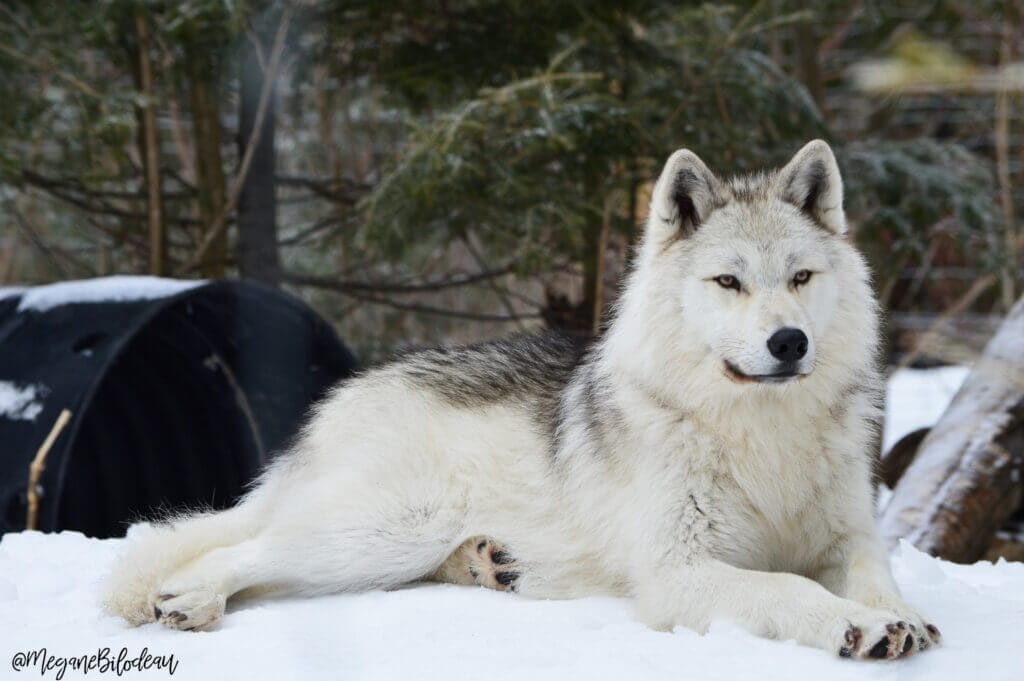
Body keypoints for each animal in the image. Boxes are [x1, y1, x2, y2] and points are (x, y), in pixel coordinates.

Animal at [104, 140, 939, 660]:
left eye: (800, 277)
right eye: (728, 281)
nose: (789, 341)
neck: (760, 434)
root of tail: (345, 392)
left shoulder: (848, 536)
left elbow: (874, 571)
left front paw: (903, 617)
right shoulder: (678, 571)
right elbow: (787, 587)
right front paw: (857, 627)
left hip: (385, 547)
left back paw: (487, 563)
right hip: (382, 528)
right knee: (240, 551)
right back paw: (190, 598)